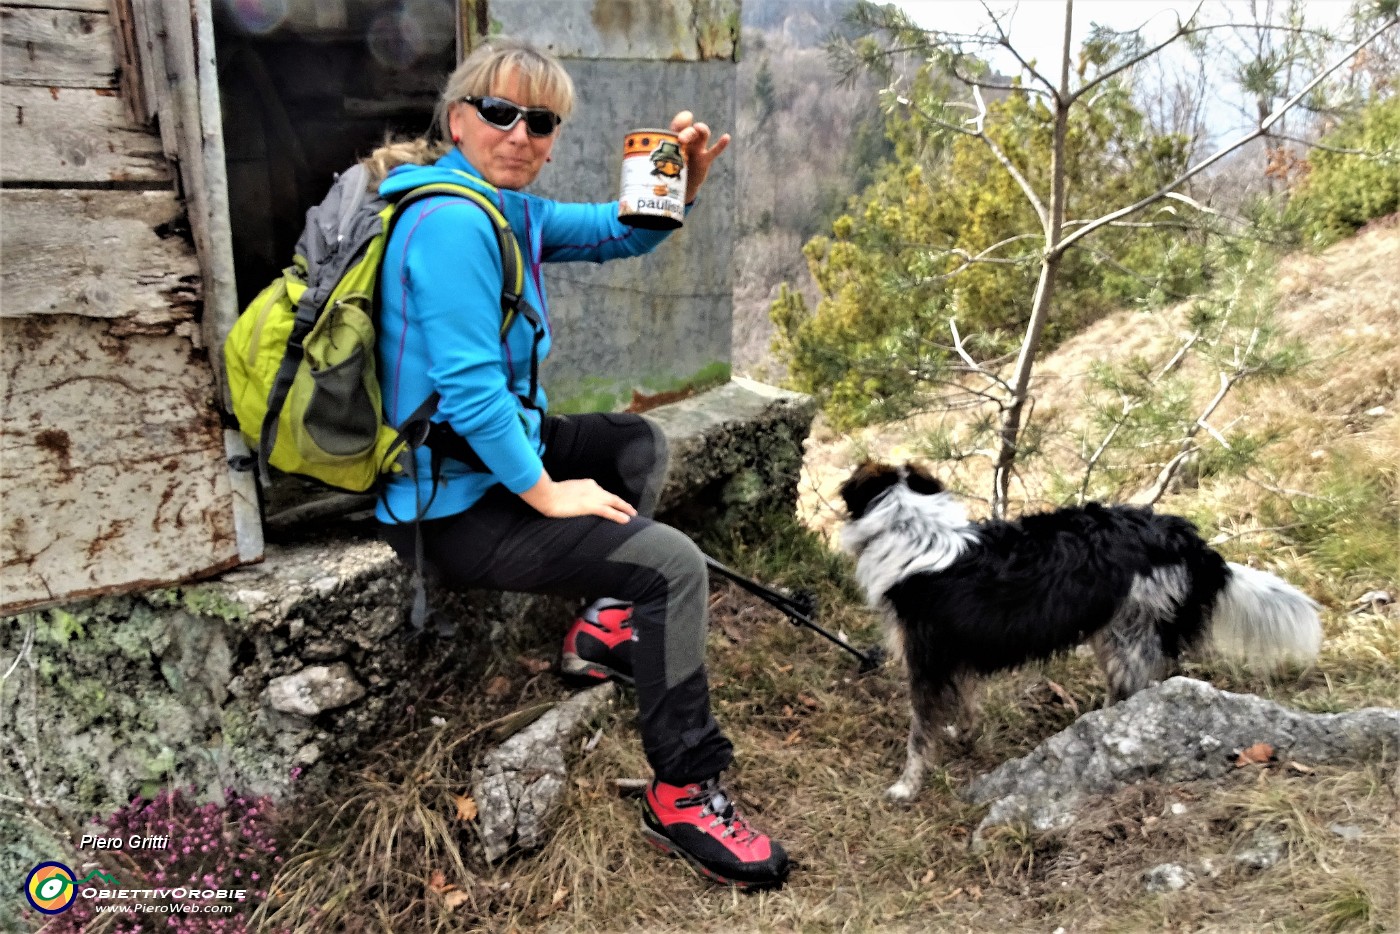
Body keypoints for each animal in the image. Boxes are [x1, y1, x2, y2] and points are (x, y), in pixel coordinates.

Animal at [840, 464, 1321, 800]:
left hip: (1128, 636)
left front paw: (906, 787)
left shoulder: (925, 662)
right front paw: (965, 734)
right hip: (1113, 632)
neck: (912, 530)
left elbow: (919, 736)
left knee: (1135, 693)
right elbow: (967, 702)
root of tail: (1185, 539)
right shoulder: (955, 657)